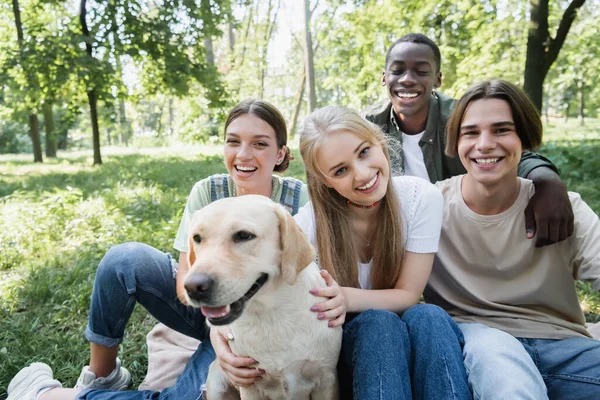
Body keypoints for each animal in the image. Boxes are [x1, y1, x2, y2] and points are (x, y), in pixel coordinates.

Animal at [183, 195, 342, 398]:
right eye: (197, 238)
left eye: (244, 235)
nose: (193, 287)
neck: (272, 316)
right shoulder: (249, 385)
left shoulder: (326, 379)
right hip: (216, 384)